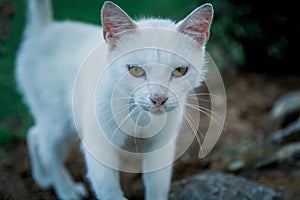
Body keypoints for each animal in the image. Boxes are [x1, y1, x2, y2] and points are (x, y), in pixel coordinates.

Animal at [15, 0, 213, 199]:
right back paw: (65, 189)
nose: (158, 99)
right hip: (58, 121)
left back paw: (42, 177)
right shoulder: (98, 145)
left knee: (34, 134)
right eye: (135, 70)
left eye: (180, 71)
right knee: (46, 147)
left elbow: (158, 185)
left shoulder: (161, 146)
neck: (139, 116)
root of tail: (43, 30)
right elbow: (108, 190)